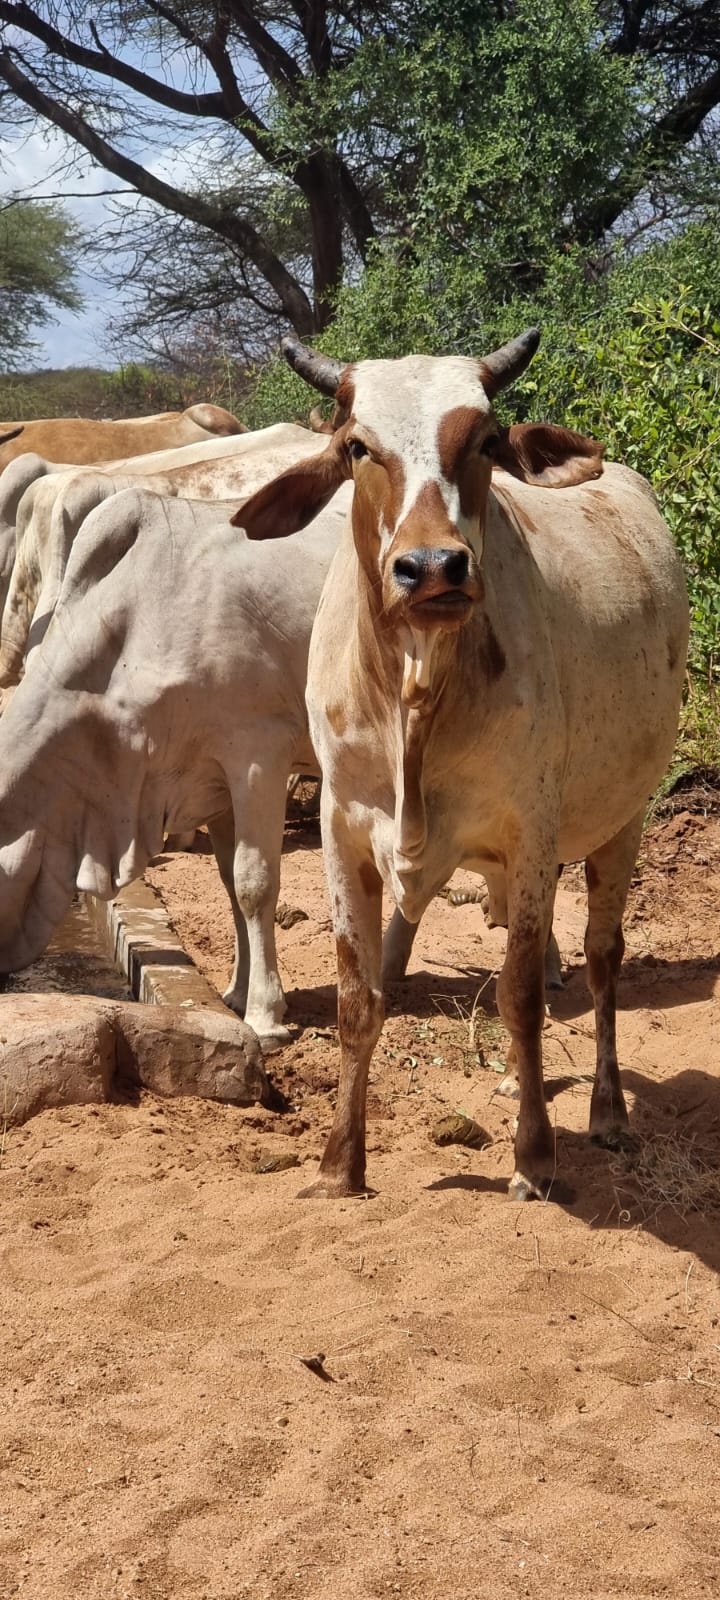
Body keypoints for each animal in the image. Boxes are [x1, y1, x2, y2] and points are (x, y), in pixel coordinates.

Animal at [0, 483, 350, 1047]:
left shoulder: (258, 756)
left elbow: (255, 884)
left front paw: (266, 1015)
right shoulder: (216, 780)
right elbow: (229, 882)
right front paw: (236, 995)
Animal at [232, 329, 689, 1200]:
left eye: (482, 439)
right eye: (357, 446)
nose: (432, 568)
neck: (417, 691)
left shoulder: (532, 832)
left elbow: (521, 995)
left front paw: (535, 1157)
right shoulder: (343, 828)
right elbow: (357, 998)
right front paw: (339, 1164)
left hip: (624, 815)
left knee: (601, 962)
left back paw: (607, 1111)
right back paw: (516, 1081)